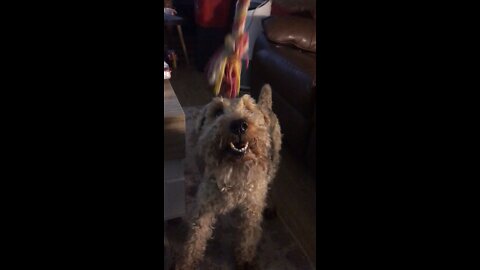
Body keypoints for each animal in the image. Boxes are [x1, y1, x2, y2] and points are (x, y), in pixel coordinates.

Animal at [175, 85, 282, 270]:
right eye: (217, 111)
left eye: (249, 109)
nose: (239, 125)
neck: (234, 169)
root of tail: (264, 105)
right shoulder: (204, 207)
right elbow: (196, 236)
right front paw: (185, 262)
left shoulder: (251, 208)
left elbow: (247, 235)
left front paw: (245, 260)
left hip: (273, 162)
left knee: (272, 184)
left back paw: (270, 207)